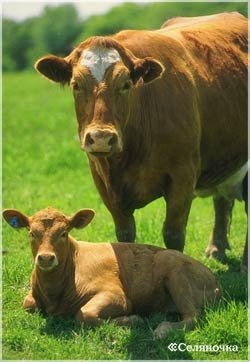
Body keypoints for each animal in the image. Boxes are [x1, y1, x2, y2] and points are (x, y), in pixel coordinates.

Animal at [2, 208, 221, 338]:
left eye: (64, 233)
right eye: (32, 233)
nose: (46, 258)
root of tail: (215, 281)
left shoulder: (117, 294)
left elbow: (84, 315)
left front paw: (132, 320)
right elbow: (28, 303)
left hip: (174, 267)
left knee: (193, 316)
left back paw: (162, 329)